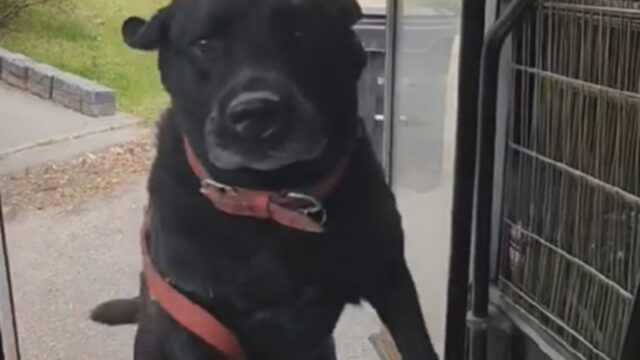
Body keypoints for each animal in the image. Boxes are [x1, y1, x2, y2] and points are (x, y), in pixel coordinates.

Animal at [91, 0, 440, 358]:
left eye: (301, 30)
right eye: (204, 43)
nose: (256, 113)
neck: (269, 199)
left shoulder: (391, 277)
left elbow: (418, 343)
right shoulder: (193, 321)